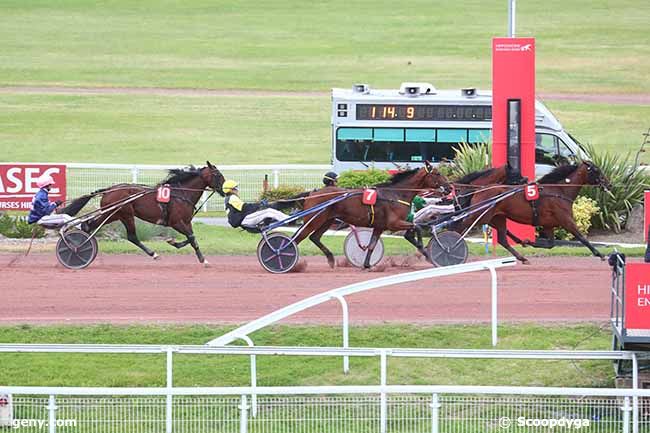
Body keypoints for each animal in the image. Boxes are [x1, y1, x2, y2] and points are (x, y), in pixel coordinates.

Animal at [61, 161, 223, 264]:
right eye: (218, 175)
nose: (225, 189)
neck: (181, 193)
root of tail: (108, 190)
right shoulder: (175, 222)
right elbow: (191, 238)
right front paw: (203, 260)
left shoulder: (186, 222)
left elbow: (191, 238)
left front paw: (176, 243)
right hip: (125, 214)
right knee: (132, 236)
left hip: (113, 214)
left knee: (88, 225)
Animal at [294, 162, 450, 268]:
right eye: (437, 173)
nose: (449, 188)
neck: (396, 194)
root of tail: (311, 193)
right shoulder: (394, 223)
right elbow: (416, 227)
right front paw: (425, 250)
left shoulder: (380, 226)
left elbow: (371, 245)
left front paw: (367, 264)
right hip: (314, 220)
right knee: (298, 238)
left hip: (327, 220)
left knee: (314, 237)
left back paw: (331, 259)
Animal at [466, 160, 608, 264]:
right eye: (597, 170)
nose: (608, 183)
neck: (559, 191)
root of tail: (480, 189)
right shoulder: (566, 220)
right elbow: (582, 238)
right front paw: (600, 254)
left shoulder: (549, 225)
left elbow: (550, 244)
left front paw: (526, 242)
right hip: (480, 216)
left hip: (495, 217)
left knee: (502, 239)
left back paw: (522, 257)